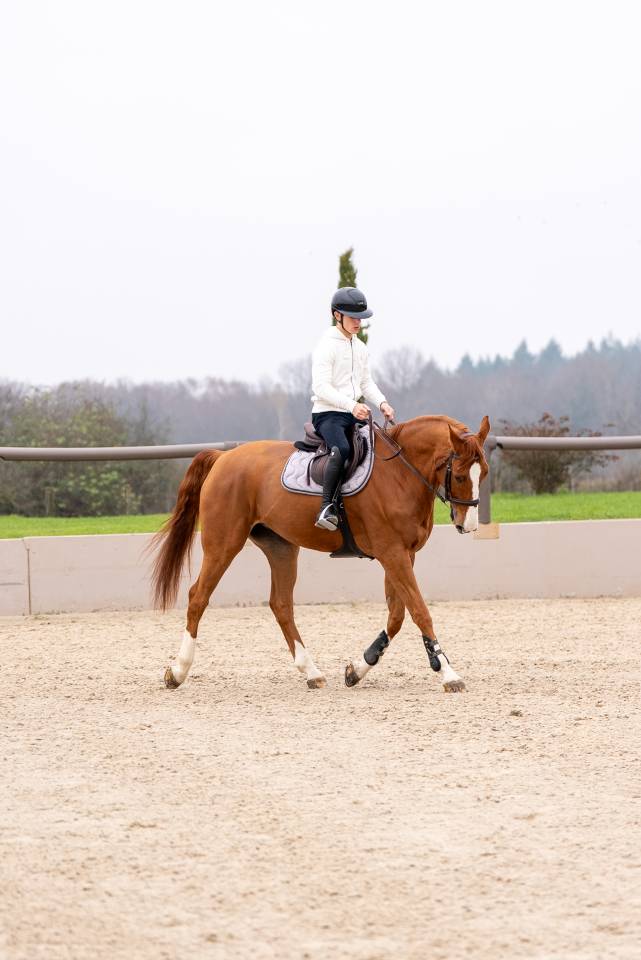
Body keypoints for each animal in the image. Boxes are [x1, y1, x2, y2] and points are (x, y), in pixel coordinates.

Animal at [151, 414, 490, 693]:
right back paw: (178, 672)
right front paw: (448, 672)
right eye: (460, 475)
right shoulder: (392, 553)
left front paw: (358, 669)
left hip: (281, 548)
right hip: (223, 544)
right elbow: (419, 611)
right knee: (198, 597)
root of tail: (223, 457)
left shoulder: (404, 555)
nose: (469, 525)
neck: (399, 472)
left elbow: (396, 615)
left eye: (483, 474)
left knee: (281, 604)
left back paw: (311, 672)